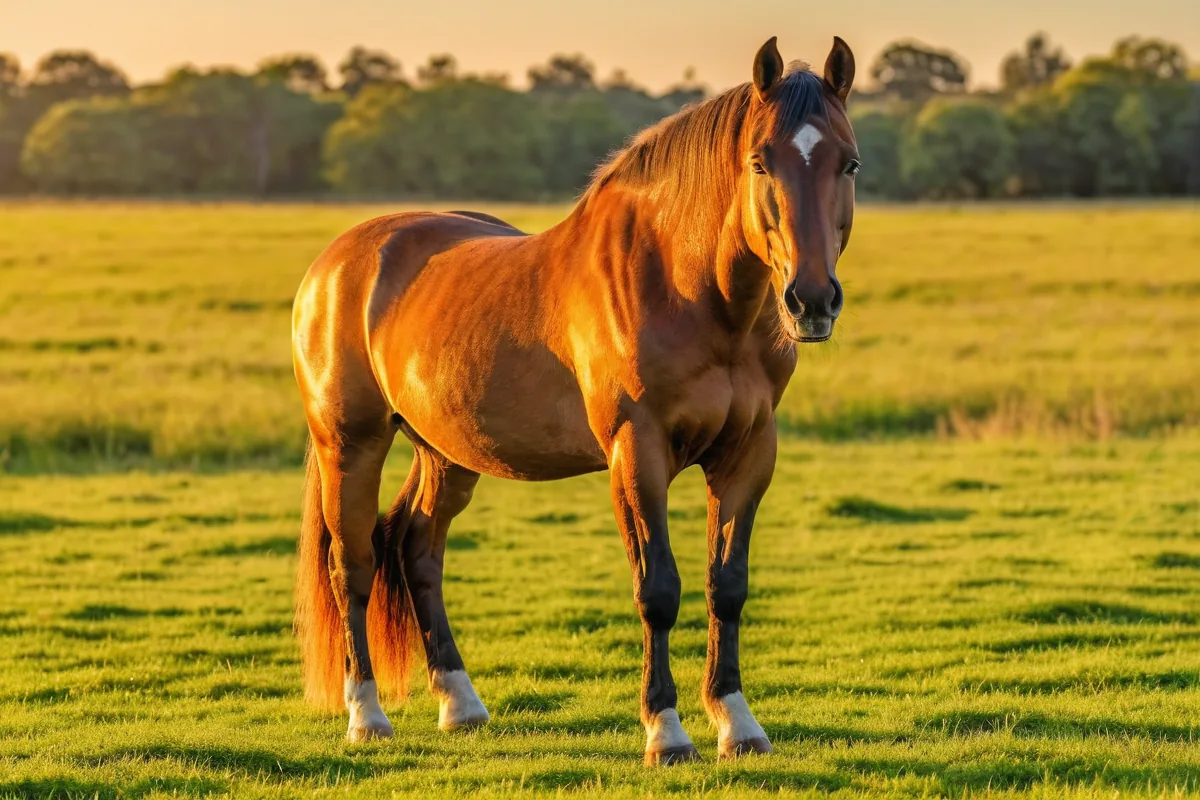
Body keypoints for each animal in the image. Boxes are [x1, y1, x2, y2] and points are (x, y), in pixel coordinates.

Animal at [291, 35, 859, 765]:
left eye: (849, 162)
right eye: (760, 161)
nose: (811, 301)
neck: (687, 290)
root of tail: (335, 264)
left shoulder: (748, 454)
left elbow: (725, 586)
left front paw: (738, 723)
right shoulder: (636, 453)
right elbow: (658, 589)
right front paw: (666, 733)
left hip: (445, 453)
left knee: (417, 549)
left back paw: (460, 703)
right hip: (351, 444)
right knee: (353, 565)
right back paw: (366, 715)